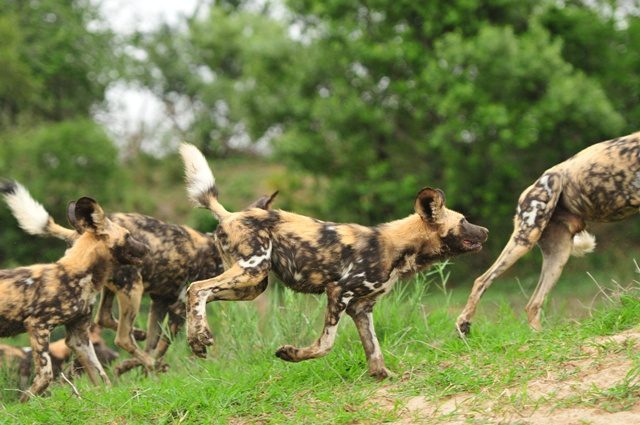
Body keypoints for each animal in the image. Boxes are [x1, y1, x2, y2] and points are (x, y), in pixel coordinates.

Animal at [0, 196, 148, 400]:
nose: (147, 248)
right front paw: (23, 404)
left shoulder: (79, 337)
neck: (80, 273)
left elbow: (102, 376)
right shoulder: (38, 325)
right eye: (128, 235)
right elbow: (44, 378)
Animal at [2, 179, 278, 374]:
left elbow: (154, 344)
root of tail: (80, 232)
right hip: (132, 289)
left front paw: (141, 369)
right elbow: (162, 346)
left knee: (105, 319)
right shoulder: (178, 307)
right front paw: (149, 369)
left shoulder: (160, 303)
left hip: (114, 289)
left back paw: (138, 339)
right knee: (122, 337)